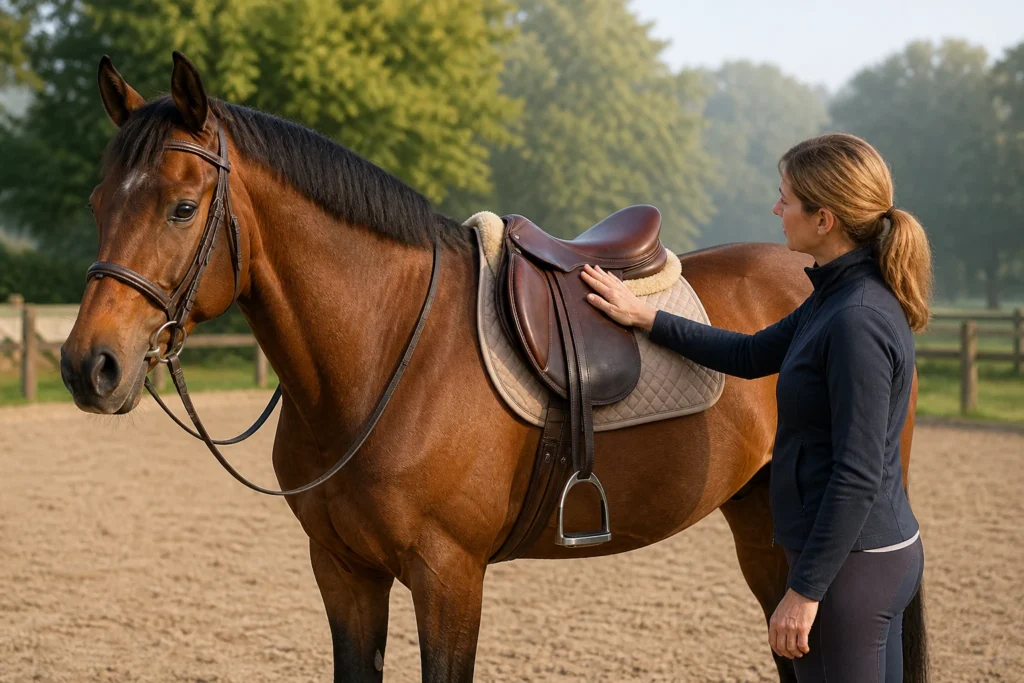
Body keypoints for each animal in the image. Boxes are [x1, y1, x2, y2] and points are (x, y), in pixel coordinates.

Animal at [60, 52, 927, 683]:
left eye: (181, 207)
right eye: (99, 201)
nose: (88, 366)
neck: (386, 356)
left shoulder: (449, 576)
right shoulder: (343, 573)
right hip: (763, 526)